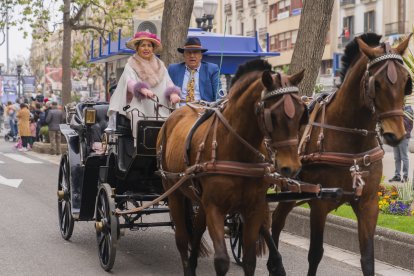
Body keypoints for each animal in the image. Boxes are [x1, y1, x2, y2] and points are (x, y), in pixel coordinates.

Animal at [158, 59, 308, 274]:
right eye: (272, 116)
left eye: (301, 114)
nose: (292, 167)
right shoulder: (215, 207)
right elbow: (221, 260)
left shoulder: (254, 207)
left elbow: (249, 259)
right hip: (174, 192)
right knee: (182, 239)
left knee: (197, 228)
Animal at [272, 33, 410, 276]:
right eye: (376, 83)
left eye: (406, 82)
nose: (396, 134)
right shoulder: (319, 204)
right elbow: (315, 253)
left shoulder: (368, 203)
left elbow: (367, 259)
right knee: (272, 222)